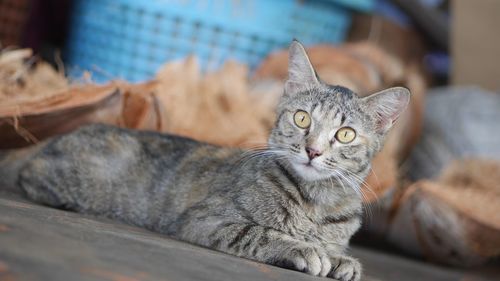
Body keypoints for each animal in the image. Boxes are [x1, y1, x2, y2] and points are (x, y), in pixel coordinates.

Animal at [0, 40, 410, 278]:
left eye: (345, 134)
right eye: (302, 118)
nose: (313, 150)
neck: (315, 202)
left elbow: (335, 250)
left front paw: (340, 259)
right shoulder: (206, 220)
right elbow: (260, 232)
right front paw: (301, 248)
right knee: (30, 175)